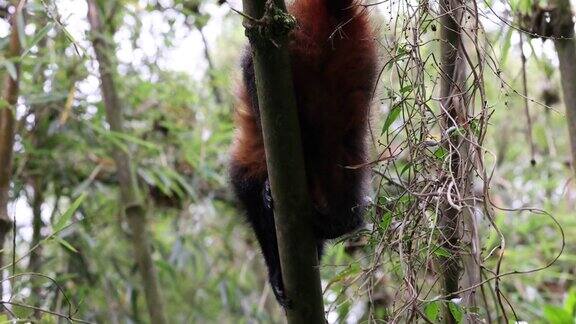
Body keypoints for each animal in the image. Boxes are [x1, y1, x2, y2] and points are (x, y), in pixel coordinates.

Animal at [230, 0, 378, 308]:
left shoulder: (245, 171)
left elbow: (251, 198)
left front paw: (276, 275)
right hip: (357, 81)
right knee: (347, 180)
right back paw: (338, 219)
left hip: (296, 38)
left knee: (251, 63)